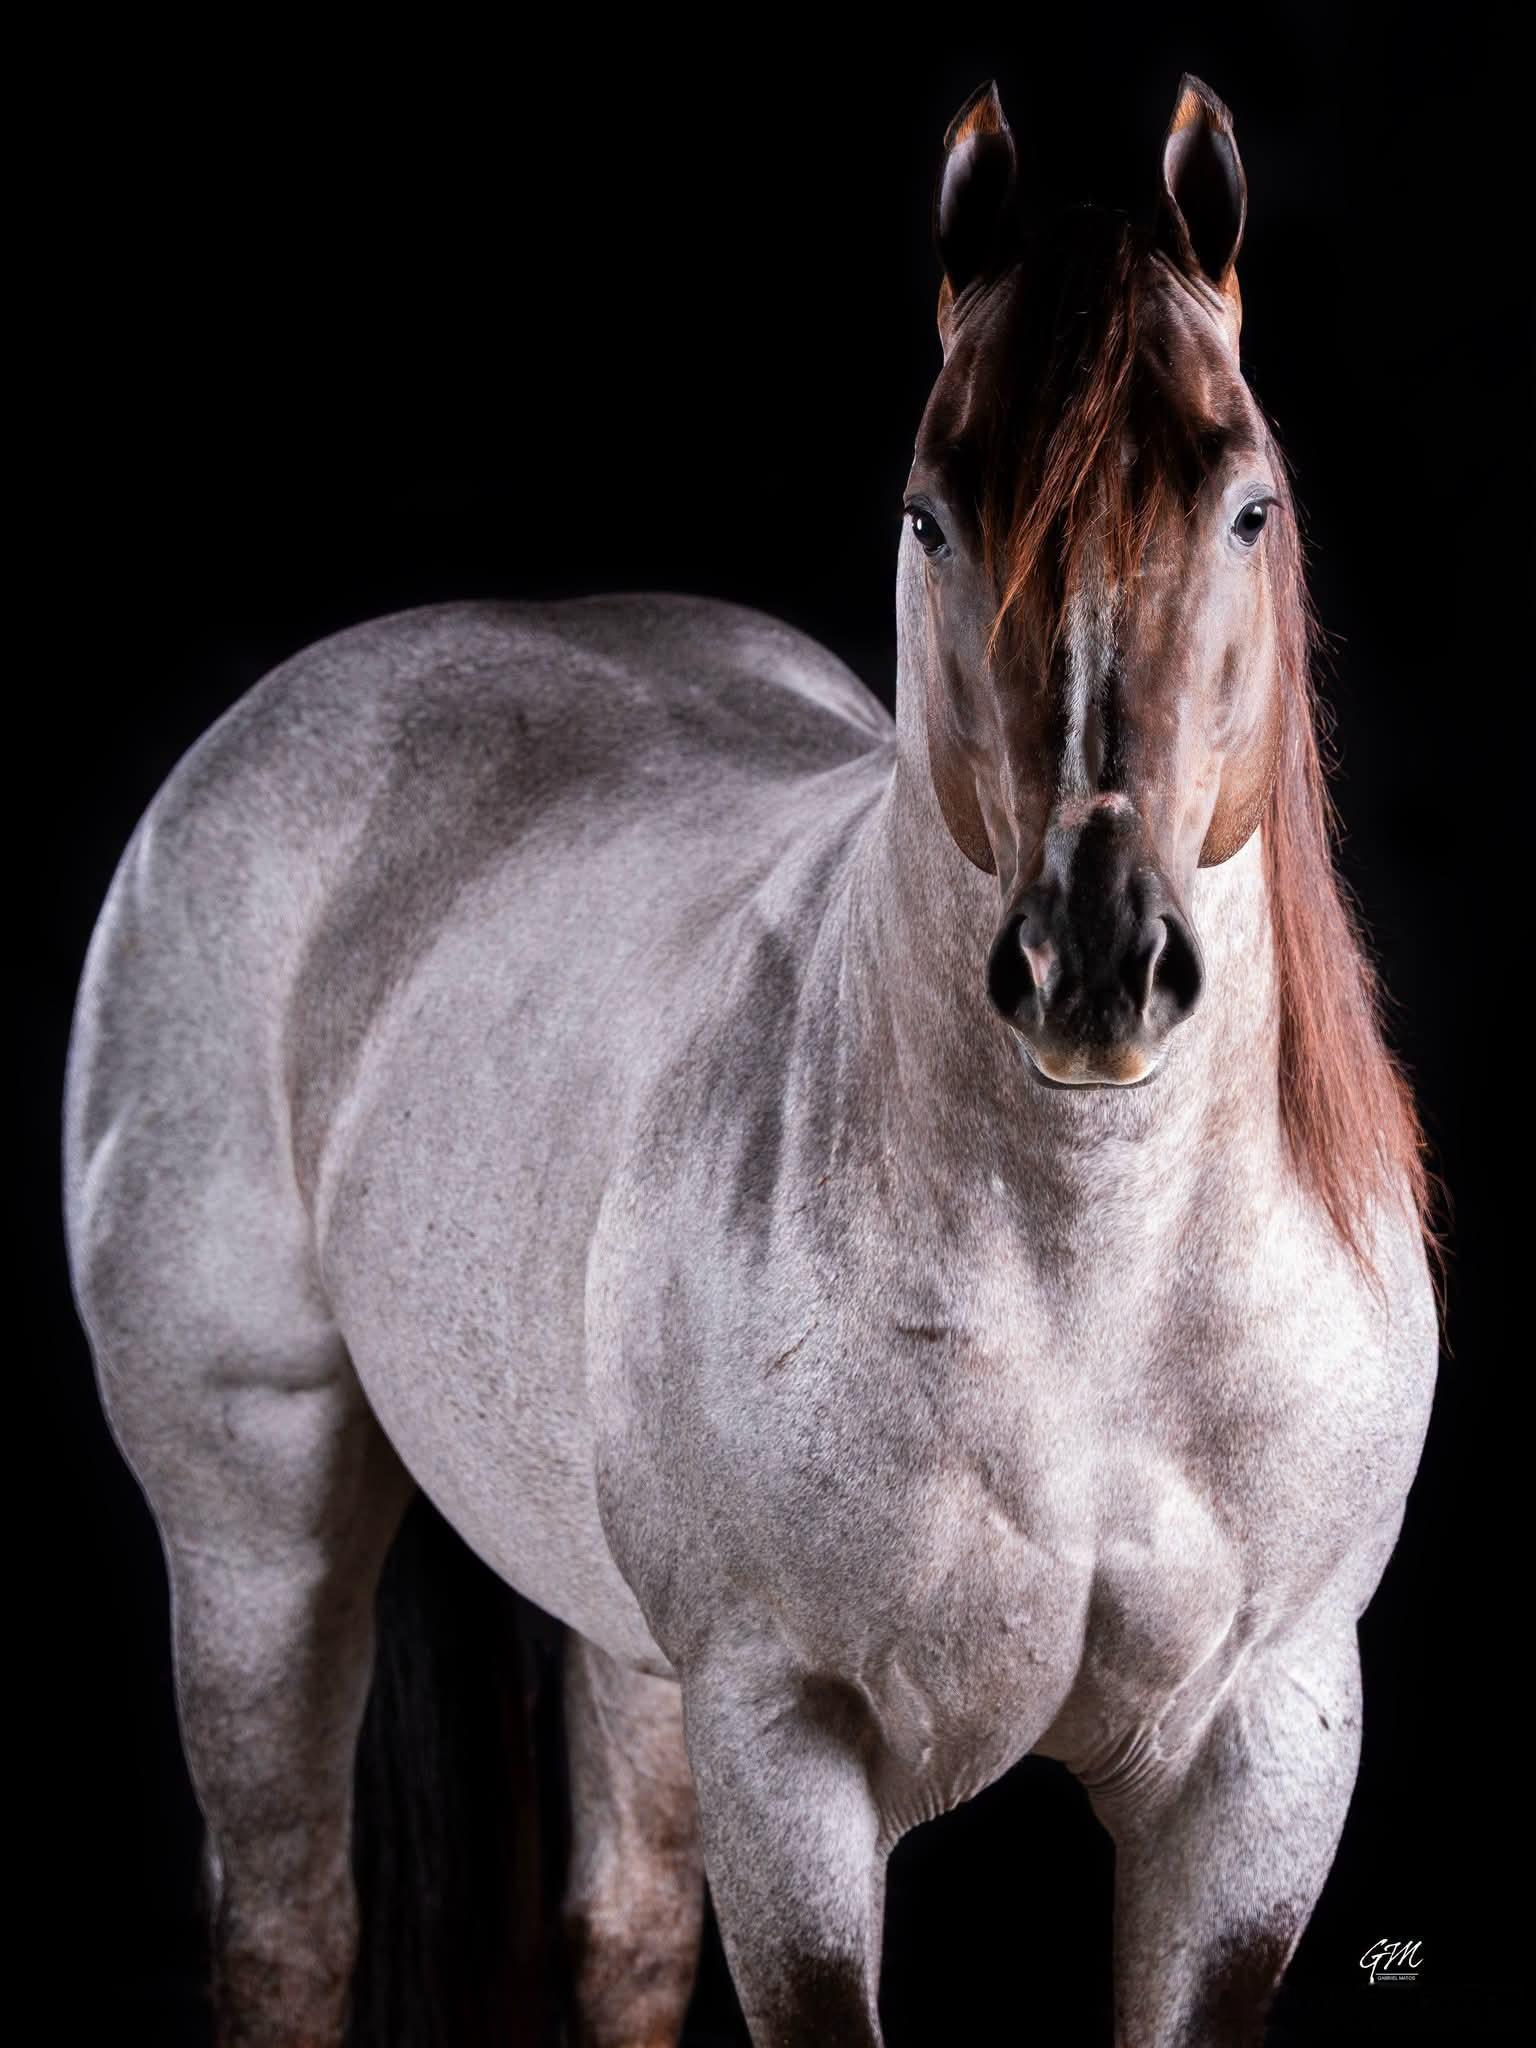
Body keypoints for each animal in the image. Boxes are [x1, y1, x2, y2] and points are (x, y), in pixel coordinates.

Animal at [63, 71, 1441, 2048]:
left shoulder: (1265, 1756)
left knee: (624, 1932)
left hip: (625, 1643)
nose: (1095, 966)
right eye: (931, 517)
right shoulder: (792, 1748)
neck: (1091, 1276)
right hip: (257, 1535)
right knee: (289, 1936)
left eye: (1247, 505)